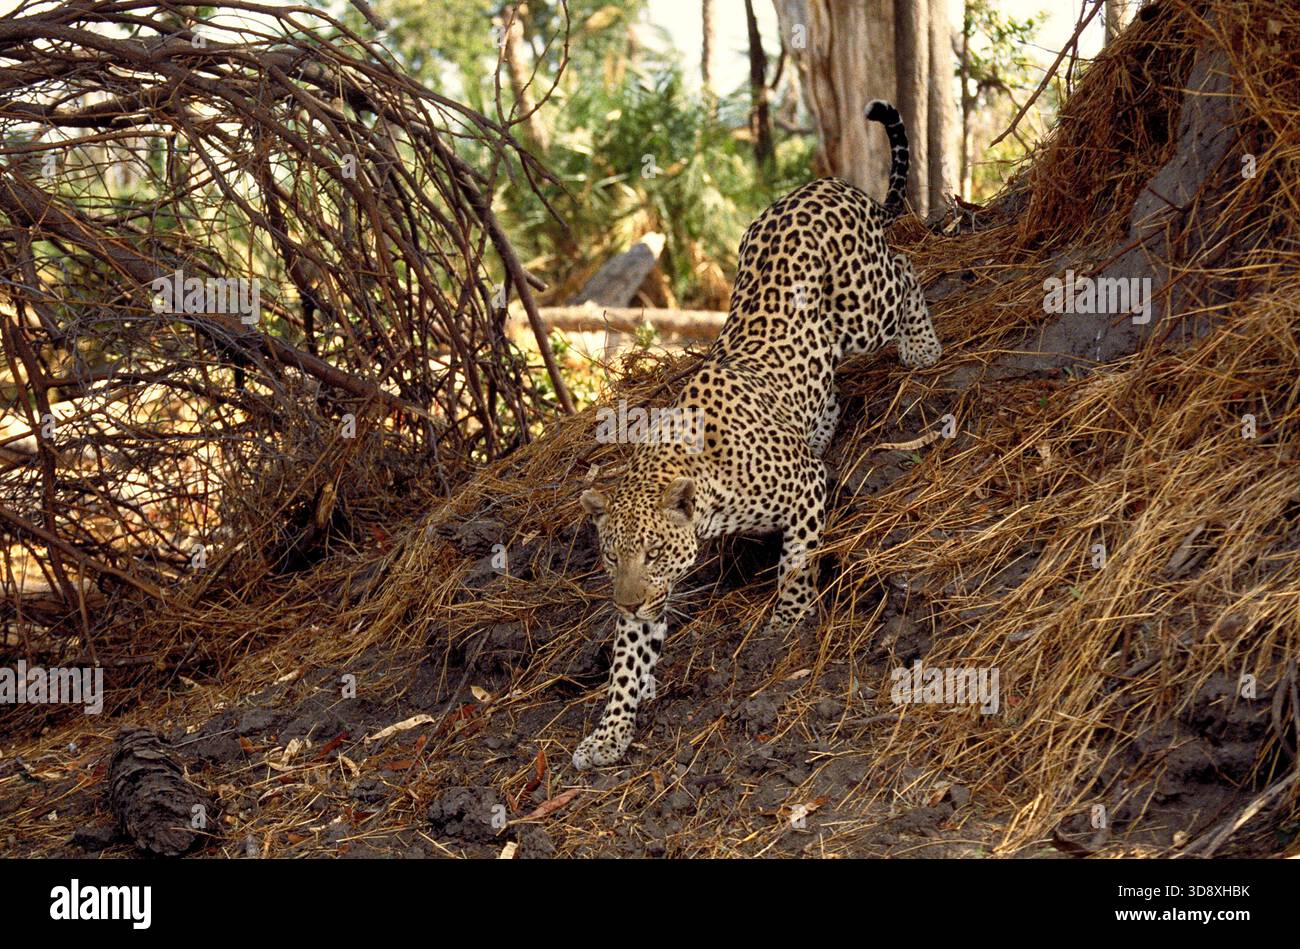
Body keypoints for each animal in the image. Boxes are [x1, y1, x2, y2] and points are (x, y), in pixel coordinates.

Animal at [572, 100, 943, 770]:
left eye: (655, 552)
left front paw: (785, 624)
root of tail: (822, 185)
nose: (628, 600)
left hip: (862, 309)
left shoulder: (805, 487)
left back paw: (923, 349)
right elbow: (627, 663)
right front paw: (609, 733)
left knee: (903, 270)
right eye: (613, 557)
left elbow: (797, 564)